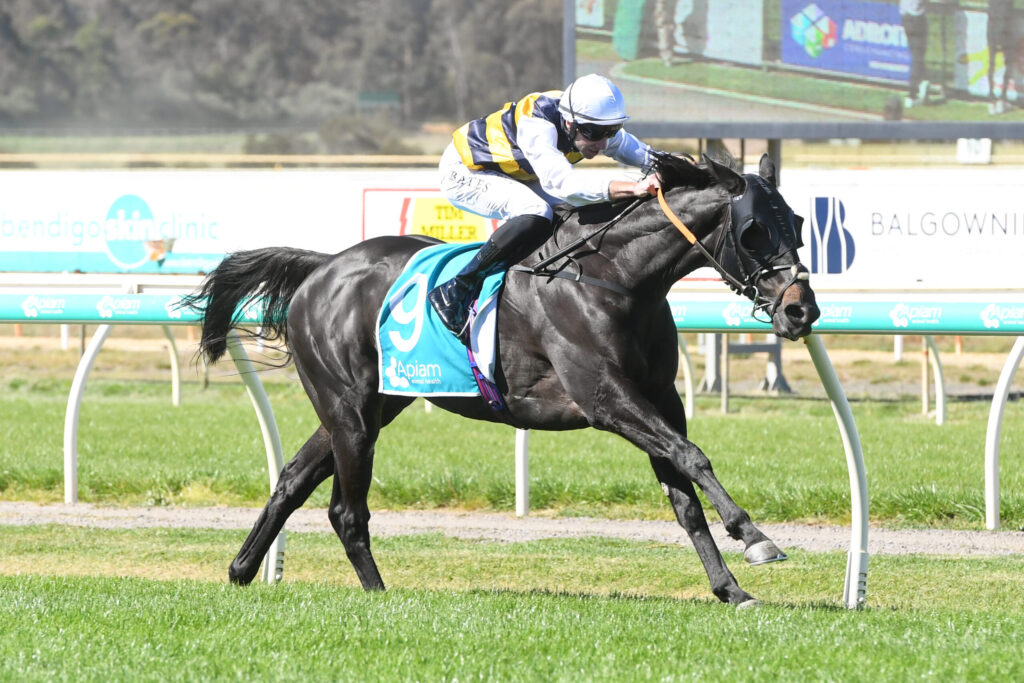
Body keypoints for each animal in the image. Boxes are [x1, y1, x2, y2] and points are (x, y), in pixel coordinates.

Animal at [185, 152, 820, 606]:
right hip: (351, 410)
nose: (801, 310)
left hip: (371, 404)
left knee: (292, 480)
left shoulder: (660, 399)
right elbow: (693, 457)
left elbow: (683, 495)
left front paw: (730, 588)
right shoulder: (607, 399)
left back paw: (242, 570)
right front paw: (755, 536)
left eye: (796, 223)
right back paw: (379, 594)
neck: (616, 275)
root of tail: (322, 268)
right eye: (753, 231)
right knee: (346, 509)